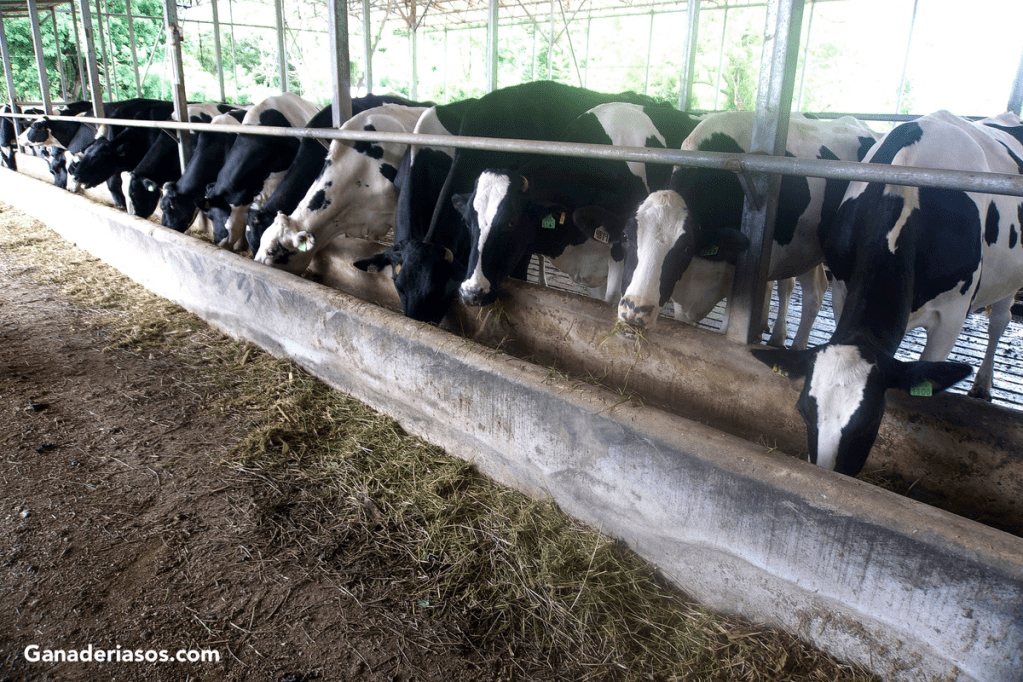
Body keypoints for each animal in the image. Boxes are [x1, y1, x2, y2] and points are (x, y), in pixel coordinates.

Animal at [751, 110, 1023, 477]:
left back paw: (981, 383)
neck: (903, 194)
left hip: (1011, 278)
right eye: (803, 411)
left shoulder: (951, 314)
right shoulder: (843, 288)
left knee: (1000, 321)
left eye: (870, 422)